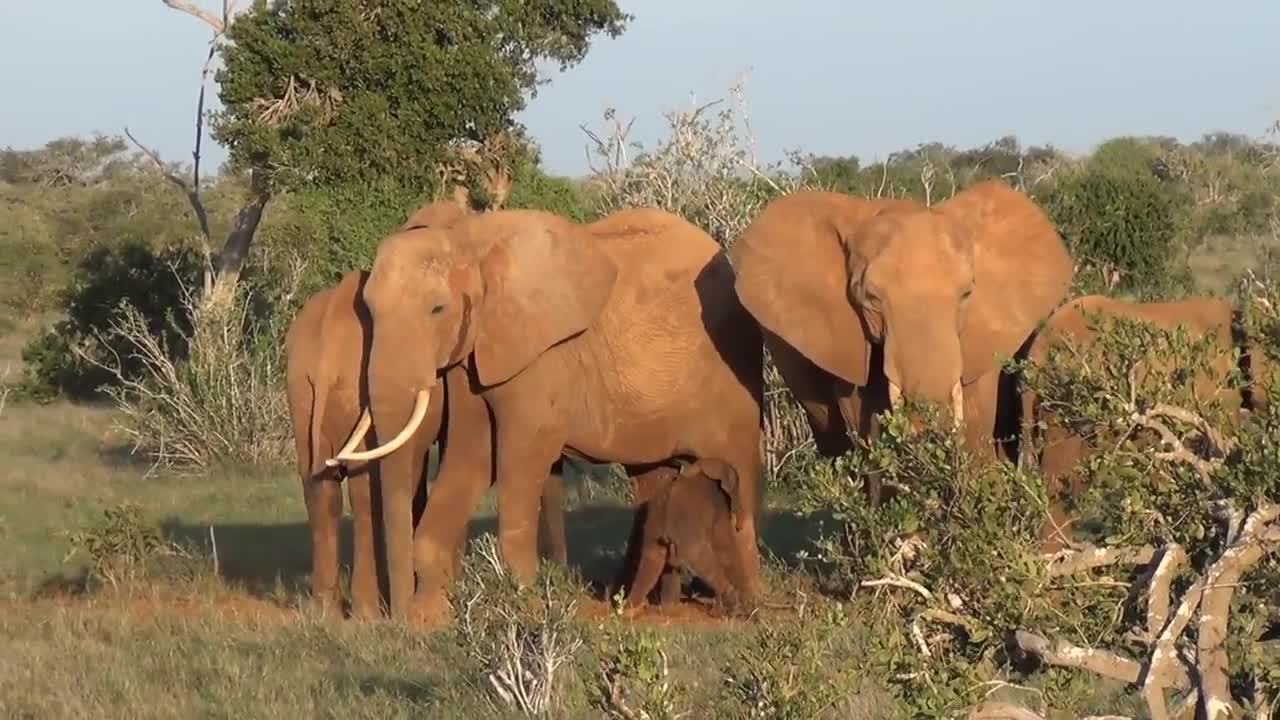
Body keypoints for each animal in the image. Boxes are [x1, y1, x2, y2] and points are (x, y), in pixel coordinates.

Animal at [616, 456, 747, 607]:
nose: (739, 527)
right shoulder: (718, 507)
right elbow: (725, 546)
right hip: (687, 532)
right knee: (701, 560)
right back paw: (733, 600)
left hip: (652, 529)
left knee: (652, 561)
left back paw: (629, 609)